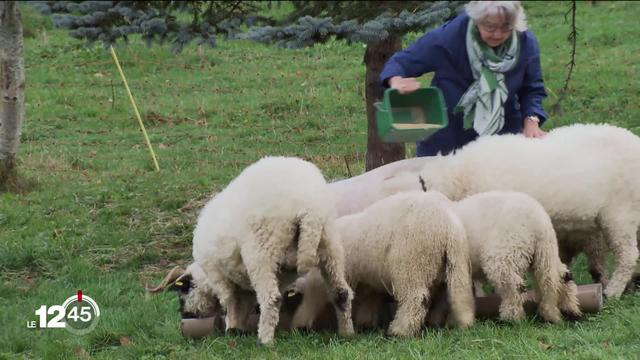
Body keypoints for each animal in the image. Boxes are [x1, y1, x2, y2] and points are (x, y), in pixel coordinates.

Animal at [153, 156, 358, 344]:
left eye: (183, 291)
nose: (185, 314)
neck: (205, 276)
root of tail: (309, 208)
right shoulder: (247, 284)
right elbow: (244, 305)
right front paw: (238, 329)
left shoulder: (220, 278)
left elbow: (230, 303)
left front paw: (232, 328)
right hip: (330, 245)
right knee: (341, 292)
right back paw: (346, 333)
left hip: (261, 252)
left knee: (271, 299)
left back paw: (265, 341)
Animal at [290, 191, 476, 338]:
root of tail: (448, 224)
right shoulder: (366, 280)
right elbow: (368, 300)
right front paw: (365, 324)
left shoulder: (332, 278)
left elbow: (320, 298)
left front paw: (300, 324)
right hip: (452, 261)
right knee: (455, 293)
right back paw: (451, 322)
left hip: (411, 261)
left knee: (416, 298)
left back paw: (399, 331)